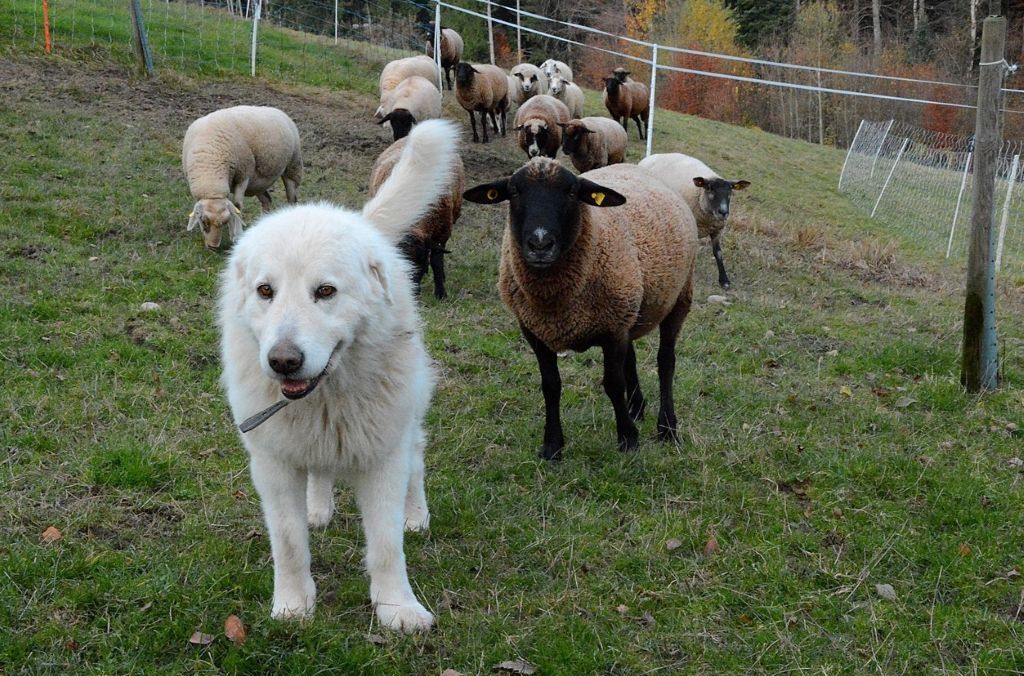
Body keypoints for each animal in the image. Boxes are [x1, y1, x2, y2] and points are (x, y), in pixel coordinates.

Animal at [183, 105, 302, 249]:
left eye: (224, 222)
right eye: (203, 221)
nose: (213, 247)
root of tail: (277, 110)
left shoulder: (243, 175)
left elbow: (237, 206)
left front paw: (237, 235)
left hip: (292, 165)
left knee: (291, 197)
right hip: (258, 182)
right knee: (267, 200)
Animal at [463, 157, 698, 461]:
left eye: (572, 192)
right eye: (514, 192)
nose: (540, 244)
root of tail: (633, 166)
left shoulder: (612, 330)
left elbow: (613, 384)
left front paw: (628, 439)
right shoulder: (534, 331)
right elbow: (550, 386)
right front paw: (552, 446)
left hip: (679, 297)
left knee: (666, 362)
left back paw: (667, 428)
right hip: (629, 307)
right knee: (632, 358)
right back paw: (637, 408)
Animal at [639, 153, 750, 289]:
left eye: (730, 191)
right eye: (709, 188)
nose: (723, 212)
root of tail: (651, 156)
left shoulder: (717, 230)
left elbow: (718, 253)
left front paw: (724, 280)